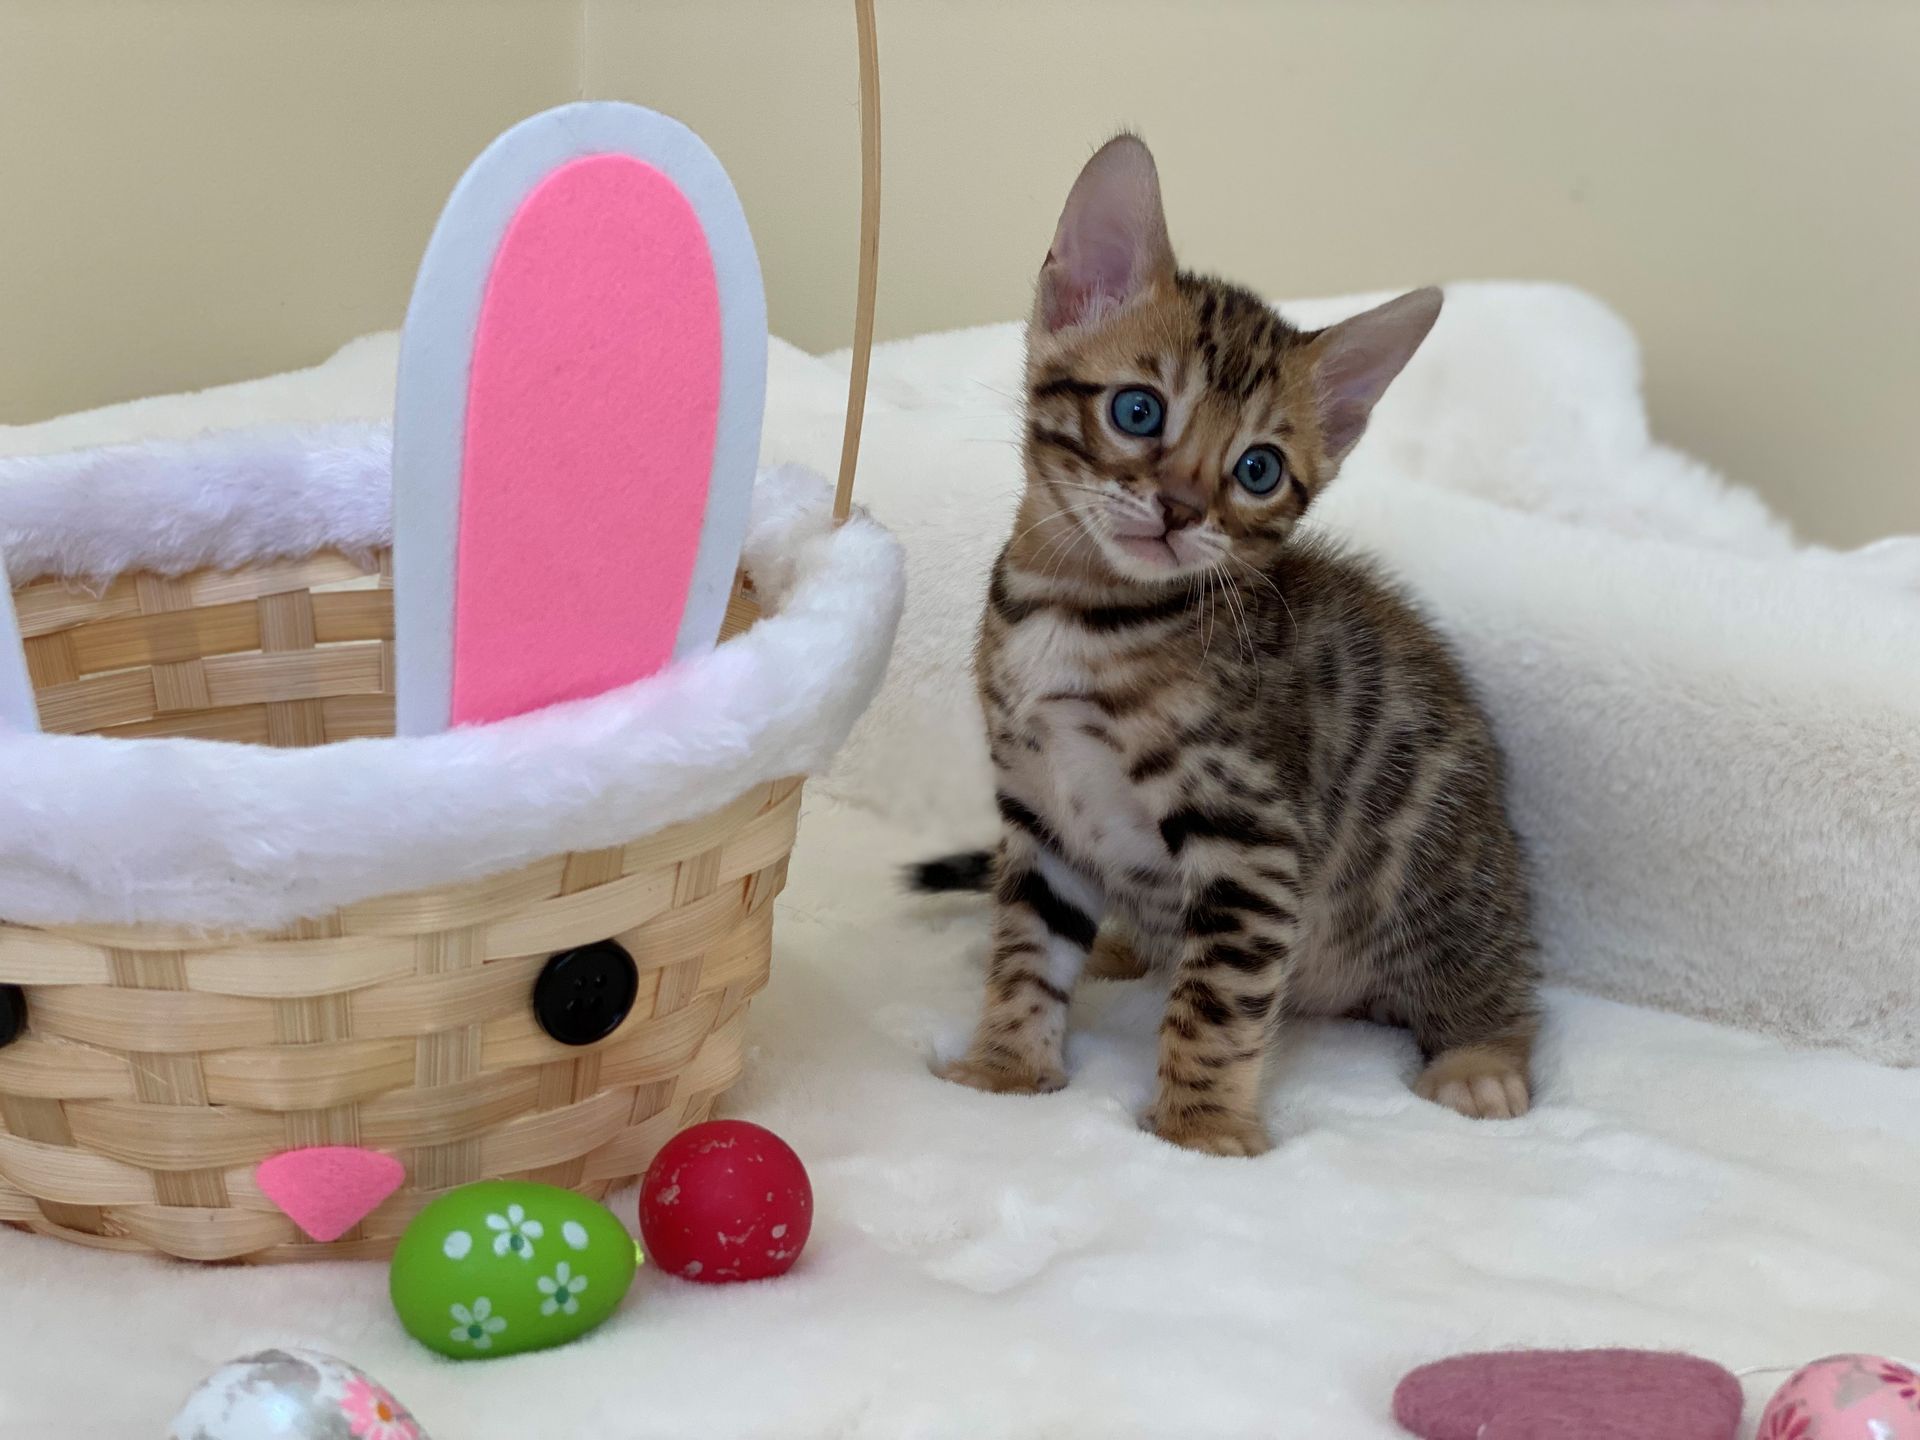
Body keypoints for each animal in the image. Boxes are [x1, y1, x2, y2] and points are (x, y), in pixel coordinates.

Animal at [917, 135, 1543, 1159]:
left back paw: (1482, 1057)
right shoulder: (1040, 812)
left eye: (1258, 470)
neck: (1082, 614)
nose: (1178, 509)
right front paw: (1007, 1069)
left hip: (1436, 867)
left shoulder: (1250, 835)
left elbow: (1215, 1000)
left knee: (1487, 966)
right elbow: (1025, 947)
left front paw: (1201, 1129)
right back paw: (1123, 948)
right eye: (1137, 411)